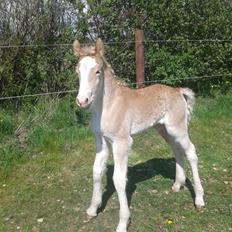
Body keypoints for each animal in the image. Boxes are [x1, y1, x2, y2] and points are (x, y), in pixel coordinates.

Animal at [73, 39, 204, 231]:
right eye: (77, 71)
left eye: (97, 71)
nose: (83, 101)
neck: (108, 106)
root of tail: (178, 91)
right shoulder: (101, 141)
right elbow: (97, 171)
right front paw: (92, 209)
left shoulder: (122, 142)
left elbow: (119, 179)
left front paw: (122, 222)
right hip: (163, 129)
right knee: (177, 150)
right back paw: (177, 184)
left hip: (177, 128)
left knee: (191, 152)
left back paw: (199, 199)